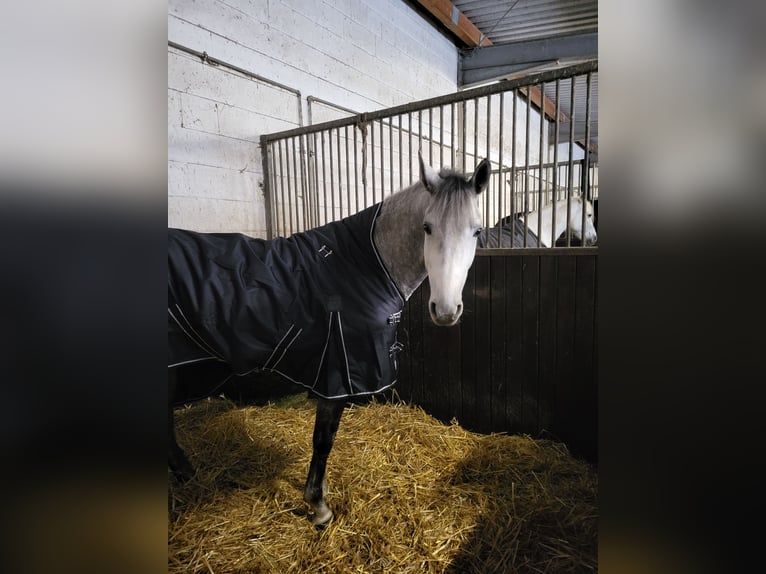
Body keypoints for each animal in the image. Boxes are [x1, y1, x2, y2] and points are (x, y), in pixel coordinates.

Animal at [168, 153, 491, 526]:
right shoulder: (337, 374)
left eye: (477, 230)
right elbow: (323, 440)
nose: (446, 310)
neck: (364, 264)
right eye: (427, 227)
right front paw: (319, 507)